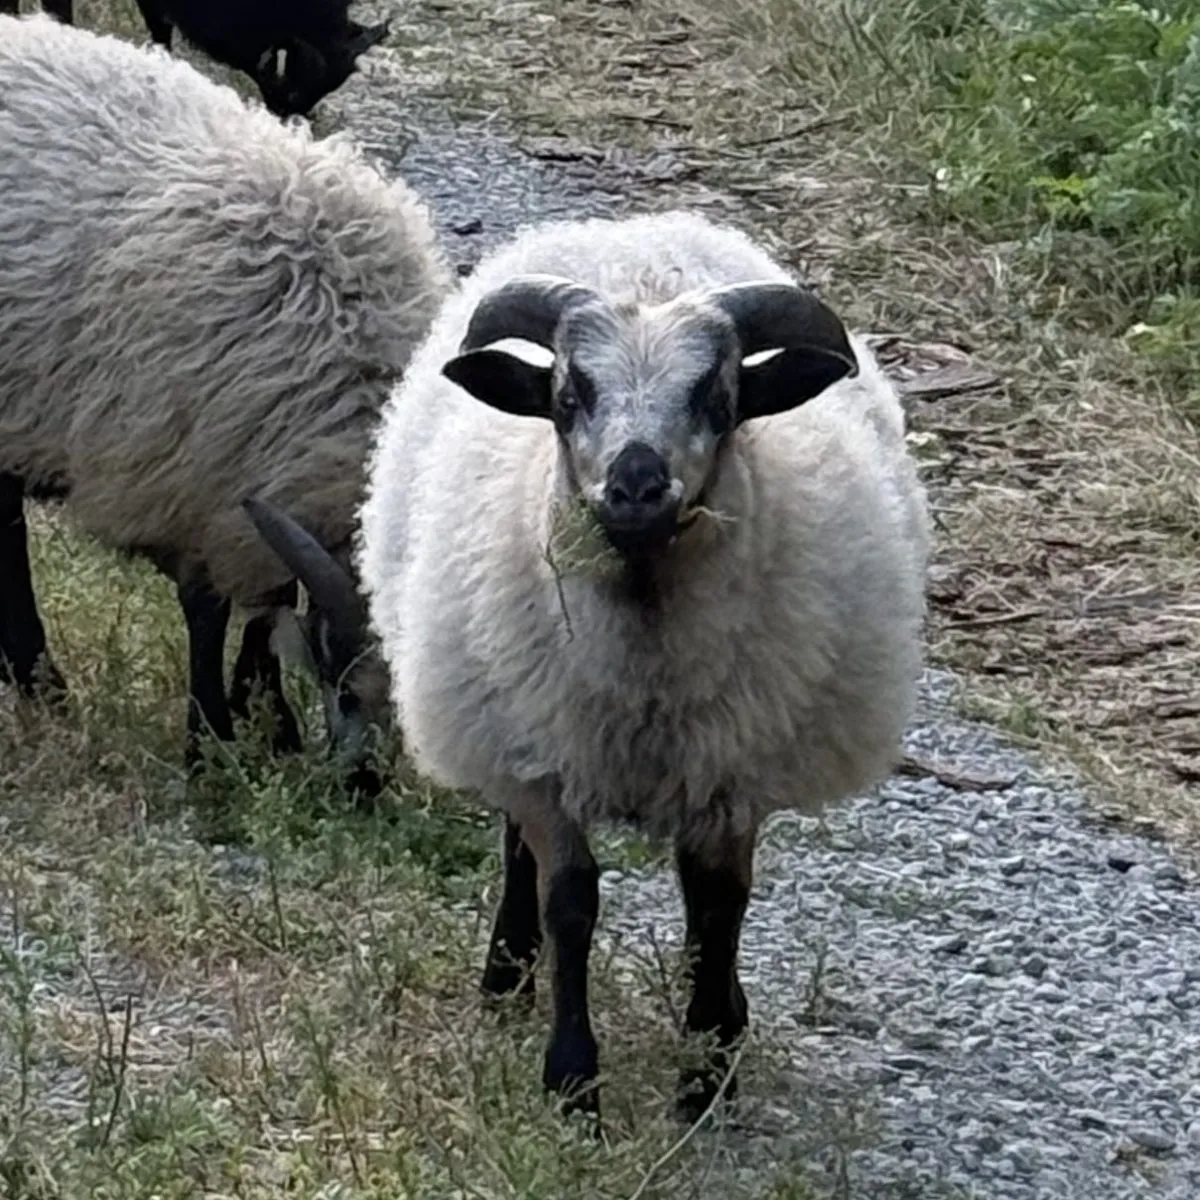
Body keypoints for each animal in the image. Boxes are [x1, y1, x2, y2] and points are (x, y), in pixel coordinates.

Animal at [0, 14, 451, 789]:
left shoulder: (241, 491)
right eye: (333, 662)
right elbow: (209, 609)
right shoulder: (185, 475)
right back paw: (42, 683)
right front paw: (210, 738)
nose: (363, 786)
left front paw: (268, 721)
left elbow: (265, 609)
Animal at [273, 208, 931, 1118]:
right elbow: (570, 902)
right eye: (566, 397)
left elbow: (718, 910)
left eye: (719, 399)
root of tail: (634, 229)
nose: (636, 487)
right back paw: (507, 976)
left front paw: (706, 1072)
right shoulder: (550, 759)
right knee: (515, 845)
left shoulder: (729, 772)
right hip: (508, 710)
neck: (644, 655)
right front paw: (572, 1082)